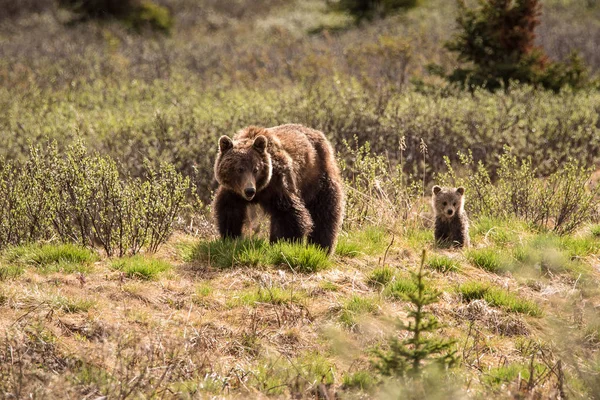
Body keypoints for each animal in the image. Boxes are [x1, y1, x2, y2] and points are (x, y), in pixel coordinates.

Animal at [212, 123, 344, 255]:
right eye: (239, 169)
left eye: (256, 169)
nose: (249, 191)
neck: (260, 189)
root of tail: (319, 134)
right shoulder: (233, 191)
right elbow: (229, 210)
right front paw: (231, 237)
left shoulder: (277, 185)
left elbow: (289, 215)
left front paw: (284, 243)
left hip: (317, 177)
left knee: (324, 212)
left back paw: (321, 246)